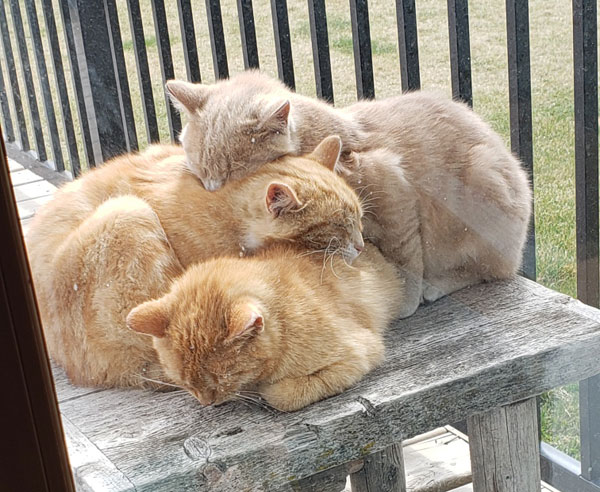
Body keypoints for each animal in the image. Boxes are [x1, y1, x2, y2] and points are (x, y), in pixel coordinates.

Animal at [125, 242, 404, 412]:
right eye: (182, 382)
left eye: (224, 378)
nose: (207, 402)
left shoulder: (358, 352)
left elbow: (283, 397)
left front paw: (264, 391)